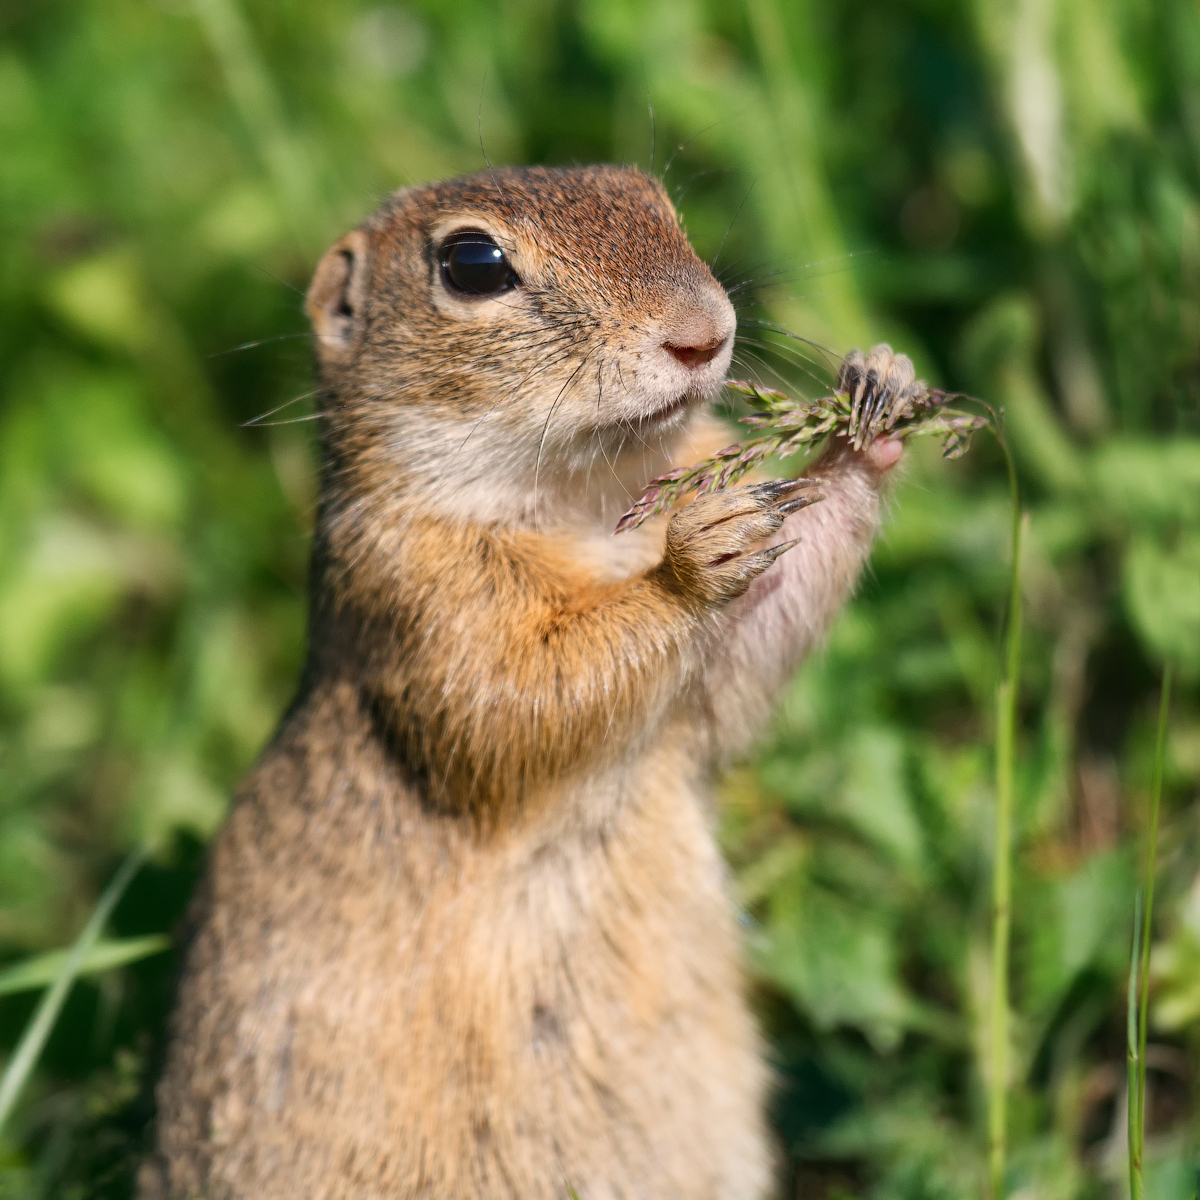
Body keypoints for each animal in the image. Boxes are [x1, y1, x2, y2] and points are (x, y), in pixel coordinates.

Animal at [142, 164, 902, 1195]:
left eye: (654, 198)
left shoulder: (694, 702)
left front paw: (876, 401)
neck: (590, 498)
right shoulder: (422, 604)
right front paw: (694, 556)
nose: (705, 331)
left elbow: (756, 644)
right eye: (472, 263)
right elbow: (521, 701)